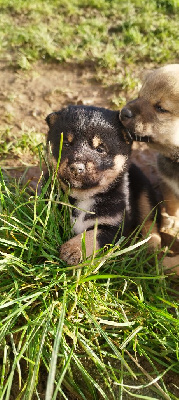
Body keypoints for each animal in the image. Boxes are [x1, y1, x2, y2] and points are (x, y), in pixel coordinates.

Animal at [46, 105, 161, 266]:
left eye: (100, 149)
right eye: (66, 144)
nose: (76, 167)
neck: (84, 197)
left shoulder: (114, 225)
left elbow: (93, 235)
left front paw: (73, 249)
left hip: (144, 191)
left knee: (150, 220)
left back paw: (151, 247)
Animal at [119, 64, 178, 276]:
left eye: (160, 108)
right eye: (139, 95)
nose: (123, 112)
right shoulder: (168, 185)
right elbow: (172, 207)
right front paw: (170, 222)